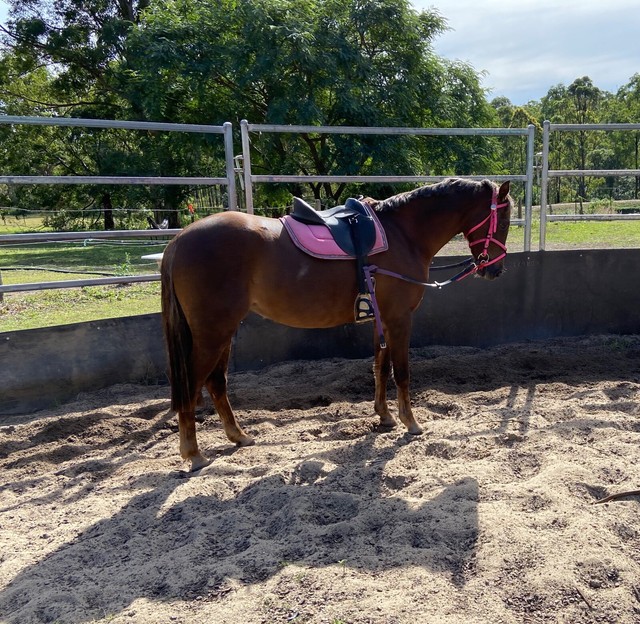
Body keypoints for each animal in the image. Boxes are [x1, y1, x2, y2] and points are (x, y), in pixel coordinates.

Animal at [161, 177, 513, 470]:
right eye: (506, 218)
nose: (495, 270)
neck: (403, 234)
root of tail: (179, 240)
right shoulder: (400, 318)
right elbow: (402, 372)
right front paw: (410, 422)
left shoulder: (383, 319)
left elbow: (380, 367)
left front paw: (385, 416)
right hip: (212, 333)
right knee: (193, 385)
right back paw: (194, 454)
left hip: (223, 331)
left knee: (216, 382)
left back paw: (239, 436)